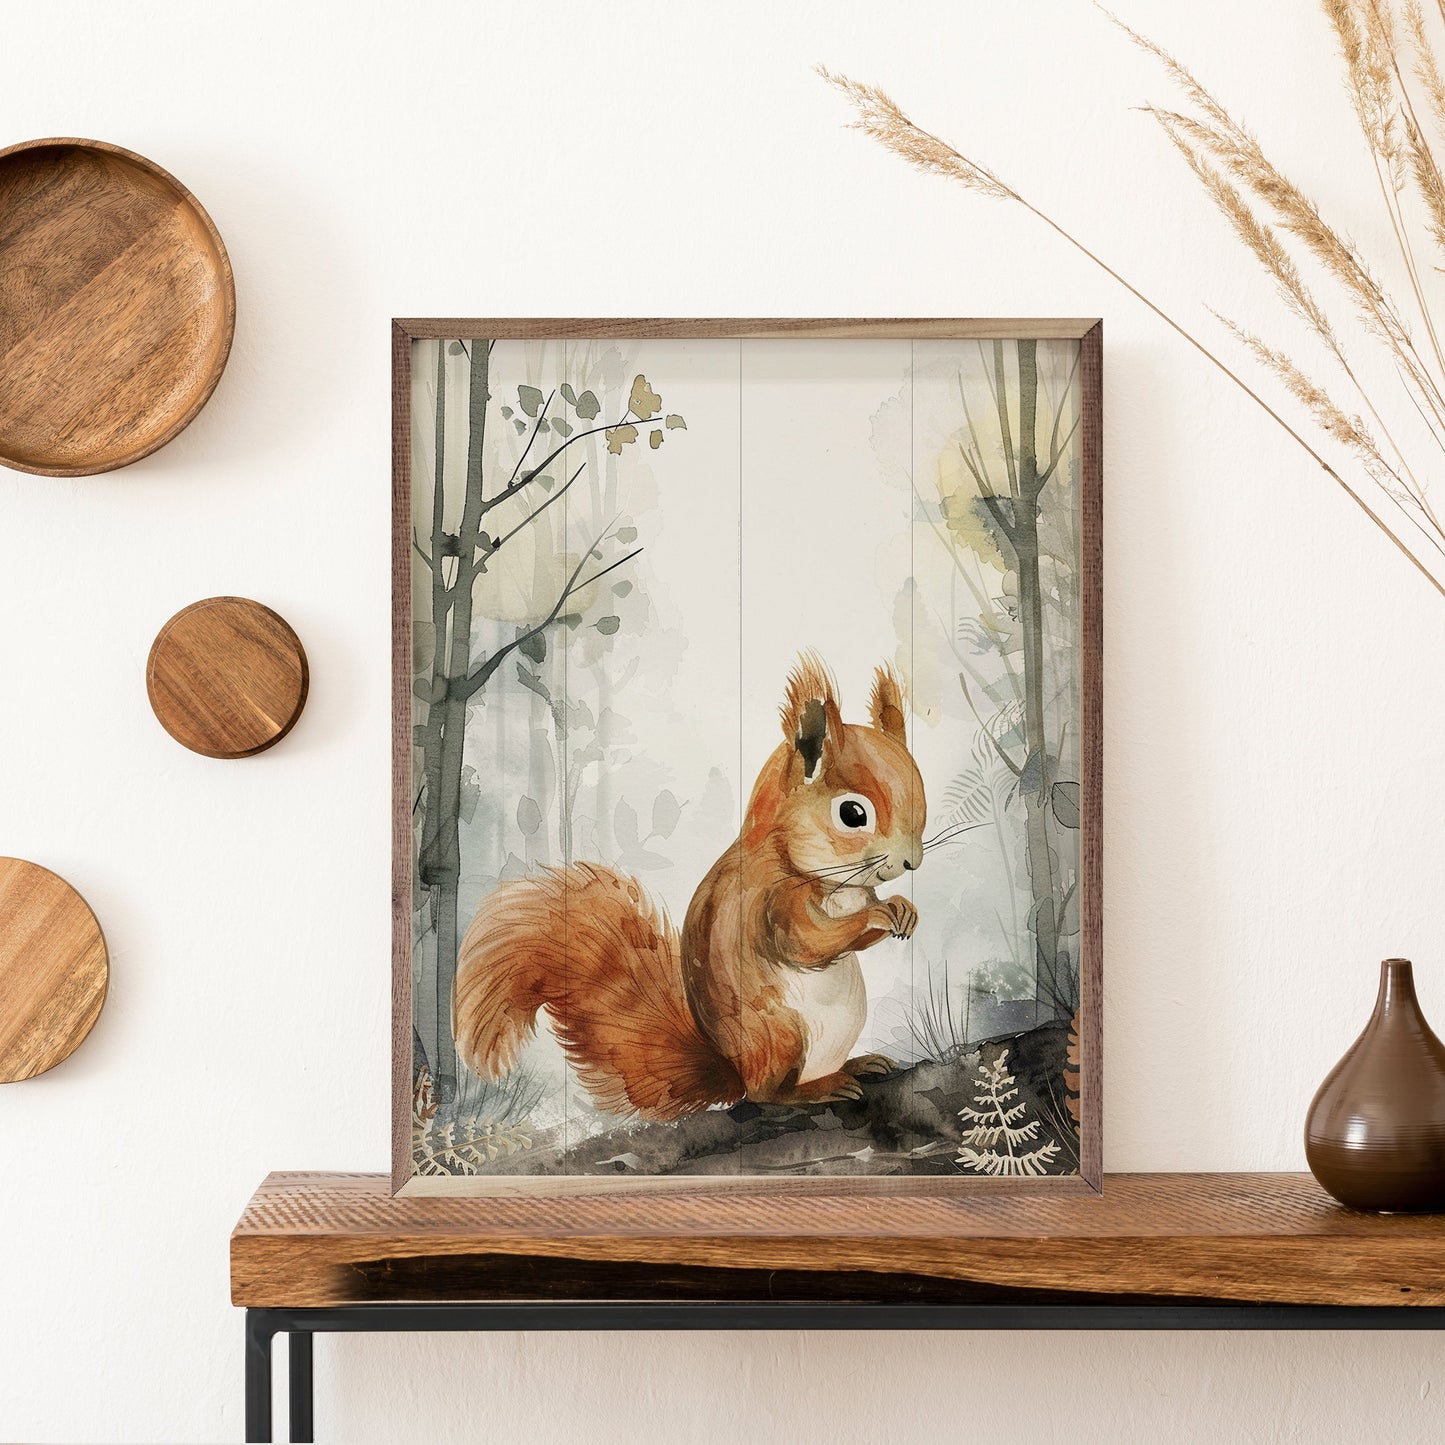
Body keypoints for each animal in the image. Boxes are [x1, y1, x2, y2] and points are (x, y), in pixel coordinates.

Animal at [451, 652, 926, 1122]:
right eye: (852, 814)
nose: (912, 862)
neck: (827, 878)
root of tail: (734, 1068)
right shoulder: (771, 902)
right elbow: (807, 941)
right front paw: (881, 911)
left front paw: (903, 910)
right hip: (781, 1035)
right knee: (767, 1091)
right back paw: (816, 1087)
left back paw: (858, 1064)